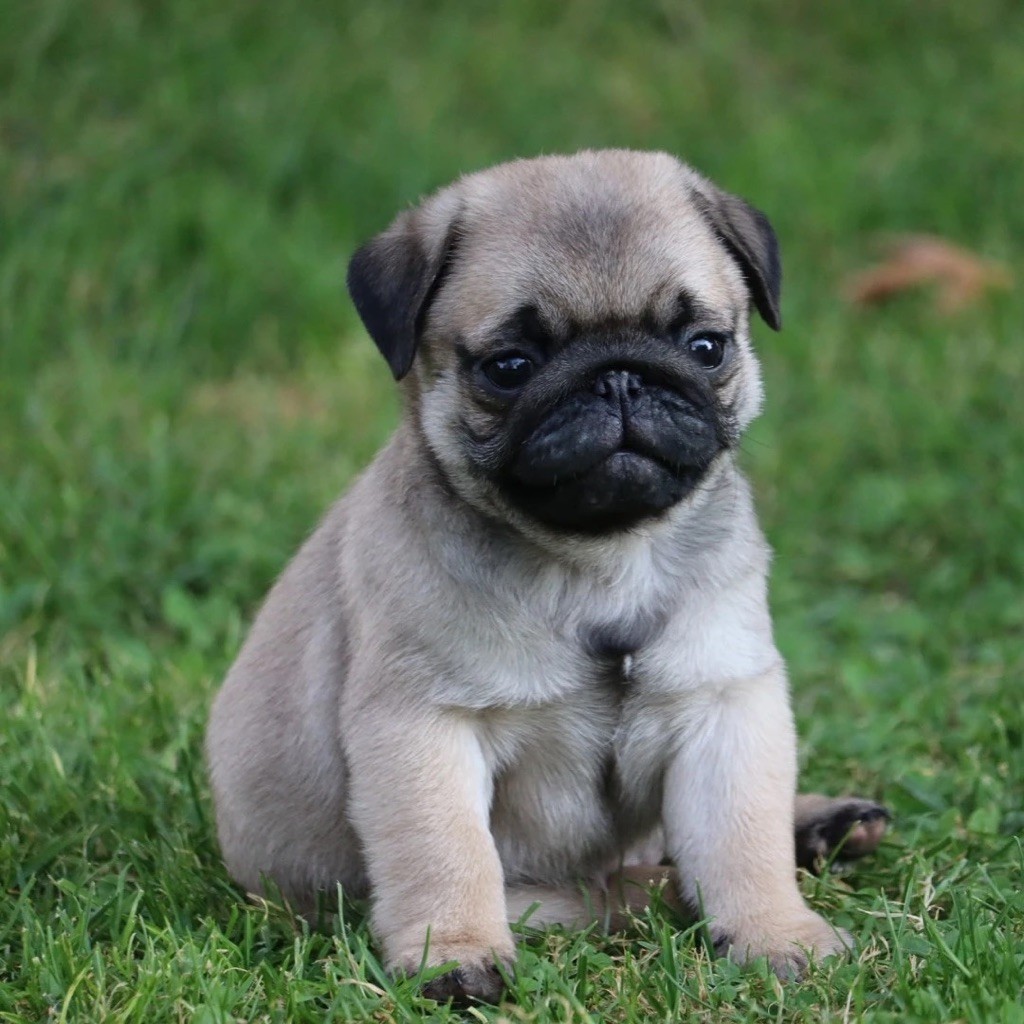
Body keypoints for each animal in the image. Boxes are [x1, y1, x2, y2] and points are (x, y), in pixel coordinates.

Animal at [203, 148, 884, 1003]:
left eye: (706, 347)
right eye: (510, 367)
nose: (619, 376)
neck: (602, 558)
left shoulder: (724, 704)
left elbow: (743, 838)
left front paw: (777, 934)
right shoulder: (425, 729)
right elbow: (446, 853)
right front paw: (454, 954)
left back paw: (824, 823)